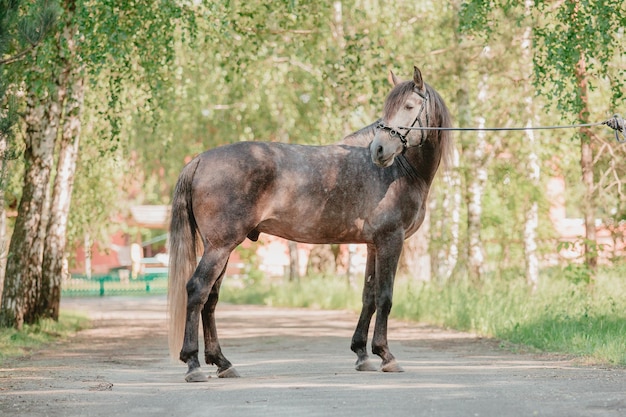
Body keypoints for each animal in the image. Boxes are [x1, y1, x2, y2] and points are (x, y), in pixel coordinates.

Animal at [166, 65, 448, 380]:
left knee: (211, 298)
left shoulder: (373, 245)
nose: (379, 149)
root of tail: (200, 160)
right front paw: (386, 355)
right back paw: (193, 363)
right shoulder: (391, 240)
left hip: (220, 248)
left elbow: (369, 296)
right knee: (197, 291)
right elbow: (385, 297)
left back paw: (223, 362)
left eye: (409, 106)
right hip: (220, 246)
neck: (399, 172)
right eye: (388, 108)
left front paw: (362, 354)